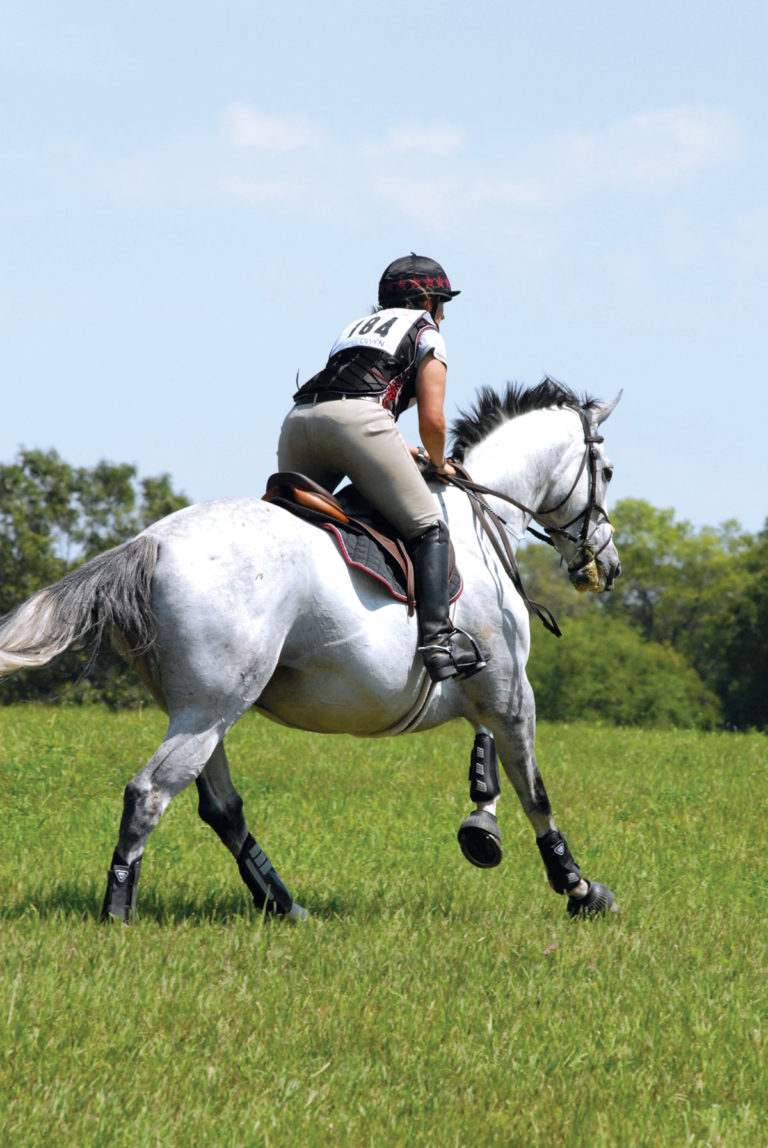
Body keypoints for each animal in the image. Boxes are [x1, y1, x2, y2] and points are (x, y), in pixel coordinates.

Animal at [0, 378, 622, 923]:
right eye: (609, 471)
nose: (608, 567)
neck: (479, 524)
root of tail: (147, 544)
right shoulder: (512, 693)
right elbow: (533, 790)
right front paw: (579, 888)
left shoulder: (487, 692)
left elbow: (487, 767)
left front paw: (482, 831)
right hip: (210, 708)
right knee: (149, 793)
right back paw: (118, 912)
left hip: (203, 710)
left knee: (220, 807)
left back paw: (283, 904)